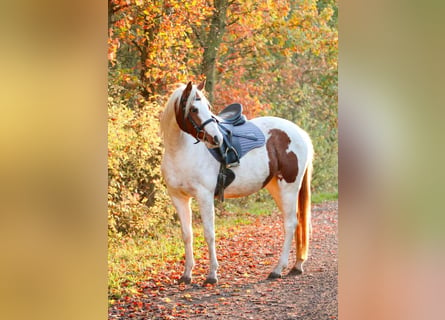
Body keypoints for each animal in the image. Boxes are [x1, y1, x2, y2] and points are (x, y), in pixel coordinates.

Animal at [160, 80, 312, 284]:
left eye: (208, 107)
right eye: (193, 109)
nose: (217, 139)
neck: (181, 151)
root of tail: (300, 133)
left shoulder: (204, 196)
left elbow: (209, 234)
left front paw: (212, 275)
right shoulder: (178, 198)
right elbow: (187, 235)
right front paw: (186, 274)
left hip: (289, 187)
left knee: (290, 224)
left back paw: (277, 269)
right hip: (276, 188)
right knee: (296, 222)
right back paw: (296, 265)